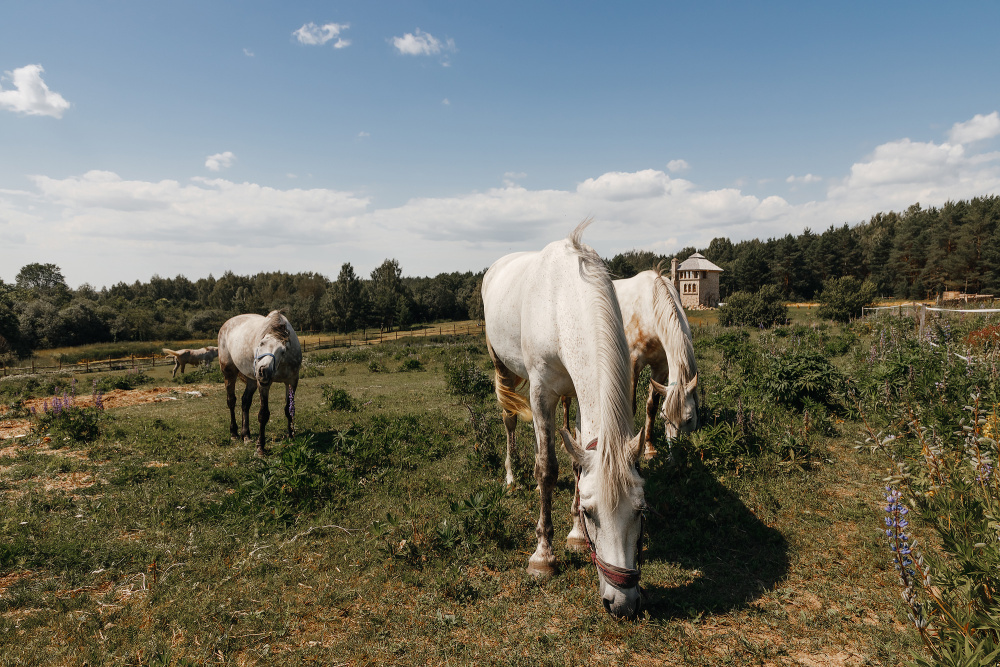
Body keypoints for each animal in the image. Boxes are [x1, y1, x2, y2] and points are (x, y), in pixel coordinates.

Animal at [217, 310, 298, 456]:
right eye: (261, 344)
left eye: (282, 351)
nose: (262, 371)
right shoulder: (264, 384)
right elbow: (263, 414)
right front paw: (260, 447)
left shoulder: (292, 381)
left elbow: (289, 410)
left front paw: (291, 436)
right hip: (229, 373)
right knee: (231, 401)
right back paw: (234, 433)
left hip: (252, 380)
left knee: (245, 402)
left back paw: (246, 435)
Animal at [484, 222, 648, 620]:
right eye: (591, 513)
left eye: (641, 511)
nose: (622, 603)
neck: (561, 303)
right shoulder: (541, 392)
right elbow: (547, 468)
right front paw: (543, 556)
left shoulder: (576, 389)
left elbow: (576, 462)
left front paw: (574, 537)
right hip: (502, 367)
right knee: (509, 421)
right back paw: (511, 477)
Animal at [612, 268, 700, 456]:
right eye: (664, 418)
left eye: (689, 419)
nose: (677, 454)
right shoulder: (633, 364)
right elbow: (631, 407)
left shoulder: (661, 367)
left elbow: (651, 406)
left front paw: (649, 448)